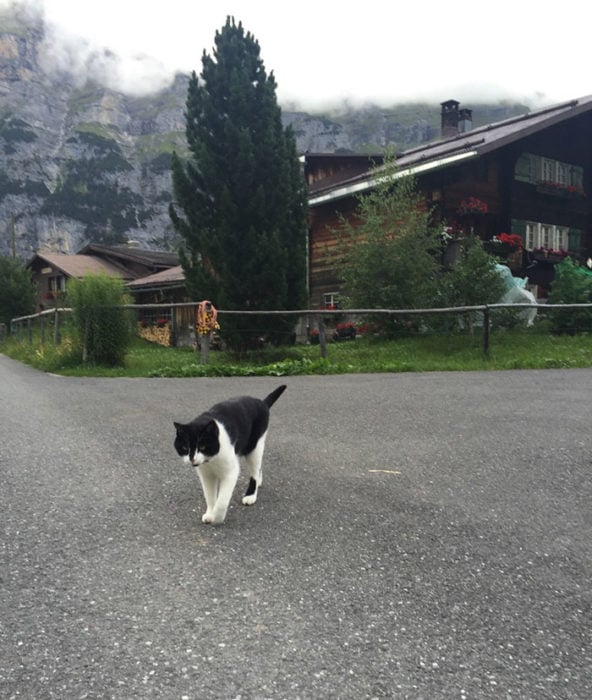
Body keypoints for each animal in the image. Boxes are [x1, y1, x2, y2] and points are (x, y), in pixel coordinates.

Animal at [173, 382, 286, 524]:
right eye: (185, 448)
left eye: (203, 447)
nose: (192, 458)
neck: (210, 461)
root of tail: (261, 402)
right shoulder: (206, 476)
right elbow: (210, 496)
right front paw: (210, 513)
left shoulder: (231, 473)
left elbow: (222, 501)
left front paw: (217, 517)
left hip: (254, 447)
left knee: (254, 471)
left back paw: (251, 494)